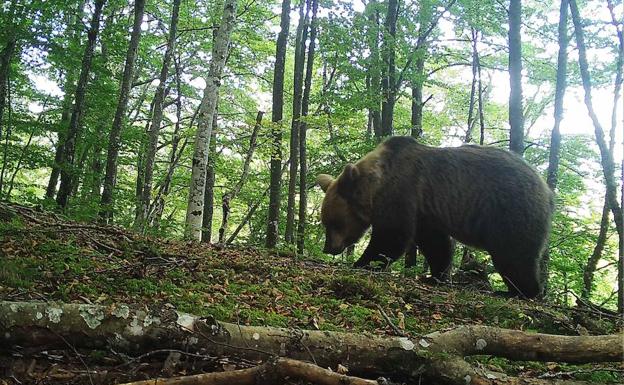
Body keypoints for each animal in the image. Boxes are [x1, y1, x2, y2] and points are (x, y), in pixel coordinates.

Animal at [314, 135, 552, 296]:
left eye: (334, 222)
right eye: (325, 221)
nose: (328, 248)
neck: (376, 187)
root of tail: (547, 189)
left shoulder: (402, 192)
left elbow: (391, 237)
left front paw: (361, 263)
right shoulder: (426, 211)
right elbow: (436, 244)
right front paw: (436, 276)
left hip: (510, 210)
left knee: (515, 254)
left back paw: (521, 291)